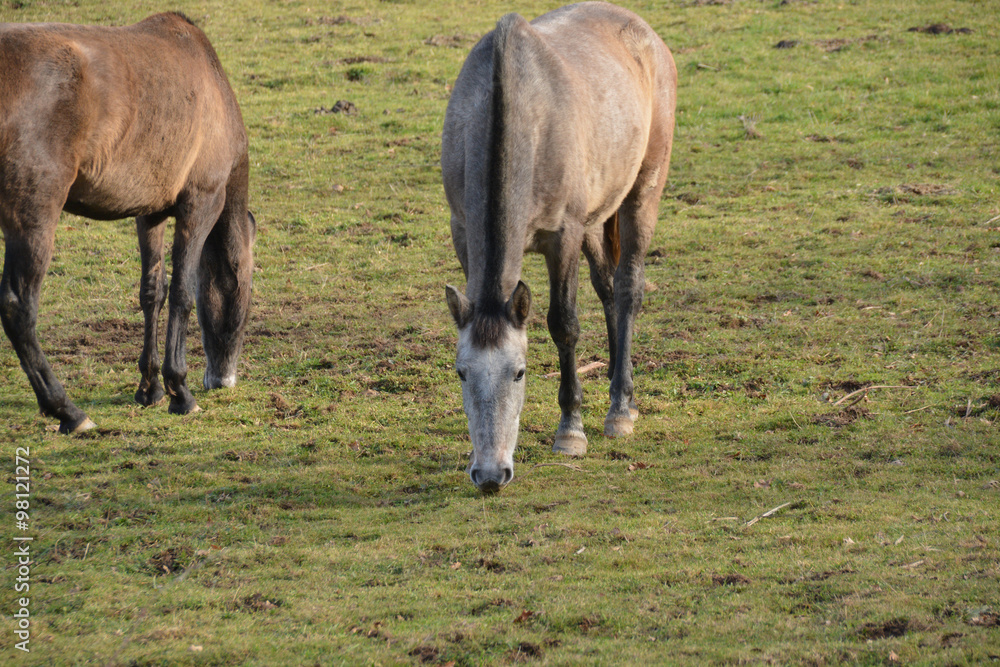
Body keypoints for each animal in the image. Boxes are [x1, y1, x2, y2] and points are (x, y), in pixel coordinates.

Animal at [0, 12, 255, 434]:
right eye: (244, 288)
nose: (222, 380)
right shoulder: (200, 202)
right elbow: (183, 292)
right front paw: (180, 391)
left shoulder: (149, 212)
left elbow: (152, 292)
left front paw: (150, 389)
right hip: (35, 213)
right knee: (19, 309)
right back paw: (67, 411)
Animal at [441, 2, 676, 492]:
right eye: (461, 372)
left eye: (520, 372)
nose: (490, 475)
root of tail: (644, 33)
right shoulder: (463, 232)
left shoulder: (563, 237)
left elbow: (563, 324)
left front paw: (571, 430)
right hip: (594, 218)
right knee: (607, 287)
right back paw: (619, 390)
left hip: (642, 193)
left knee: (628, 288)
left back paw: (619, 408)